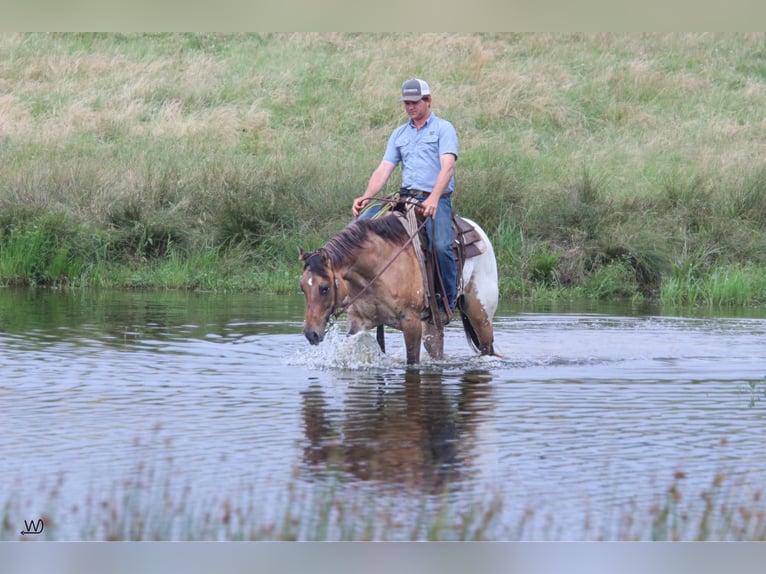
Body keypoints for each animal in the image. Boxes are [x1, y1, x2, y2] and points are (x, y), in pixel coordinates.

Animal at [300, 205, 504, 366]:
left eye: (324, 288)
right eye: (302, 287)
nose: (311, 334)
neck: (377, 268)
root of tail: (477, 231)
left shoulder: (410, 322)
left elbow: (412, 361)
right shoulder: (358, 321)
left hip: (480, 315)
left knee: (486, 348)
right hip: (432, 324)